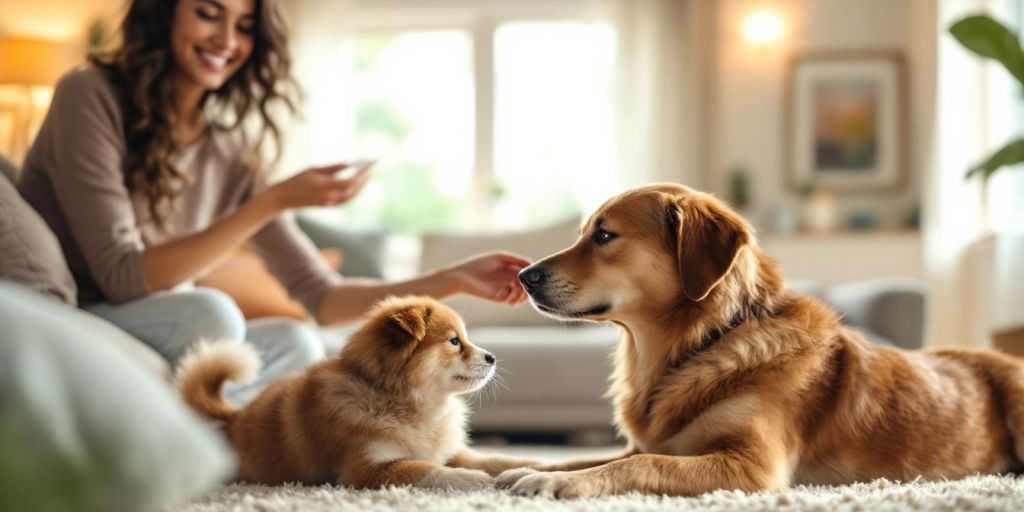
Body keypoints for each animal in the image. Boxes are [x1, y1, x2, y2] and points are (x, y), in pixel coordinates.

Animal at [495, 183, 1024, 495]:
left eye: (604, 235)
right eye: (584, 232)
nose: (523, 276)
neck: (701, 343)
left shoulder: (751, 467)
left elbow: (640, 466)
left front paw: (558, 484)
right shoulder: (641, 444)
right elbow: (590, 457)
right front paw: (534, 468)